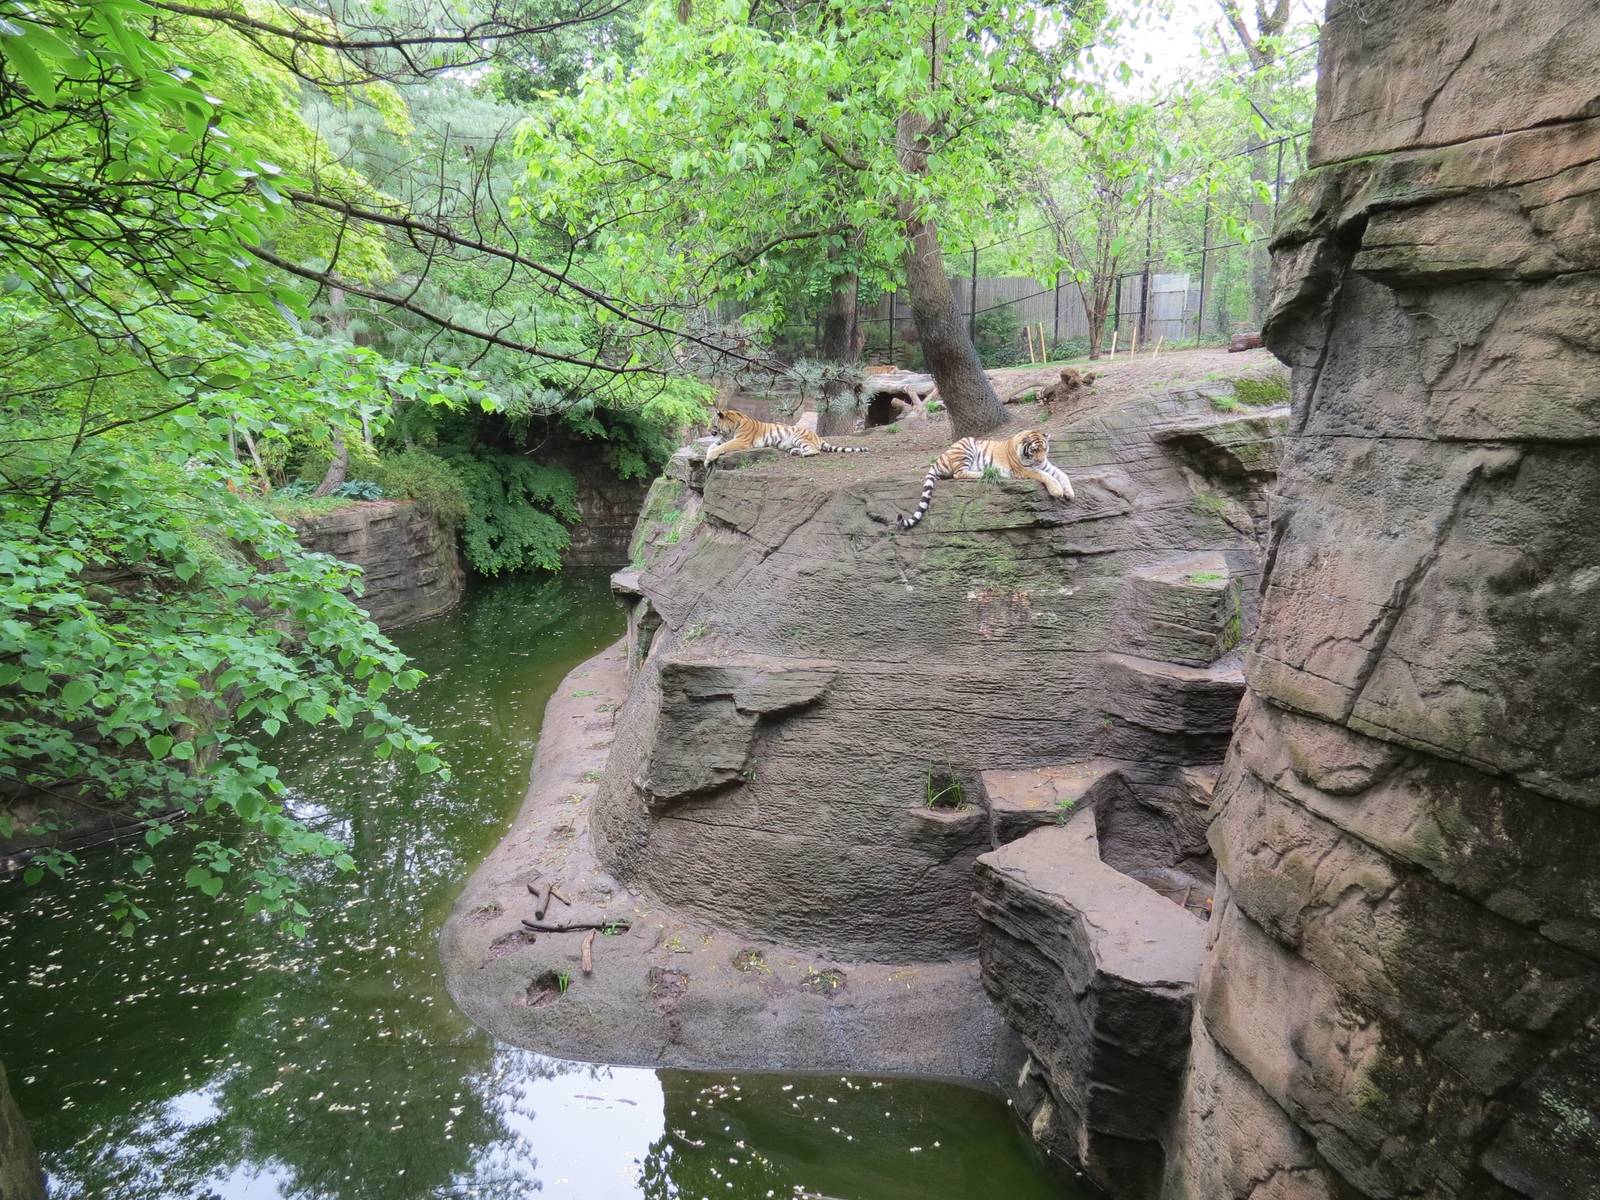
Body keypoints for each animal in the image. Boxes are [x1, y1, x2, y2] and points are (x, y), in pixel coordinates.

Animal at [703, 409, 868, 465]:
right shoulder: (723, 439)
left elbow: (722, 447)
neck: (729, 430)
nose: (708, 429)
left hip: (798, 437)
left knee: (815, 450)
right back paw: (796, 452)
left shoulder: (740, 440)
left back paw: (805, 454)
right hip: (787, 443)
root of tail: (818, 436)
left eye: (712, 423)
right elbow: (711, 446)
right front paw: (706, 459)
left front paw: (709, 459)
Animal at [897, 429, 1075, 530]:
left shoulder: (1047, 466)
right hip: (966, 444)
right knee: (958, 474)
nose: (1041, 460)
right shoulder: (1024, 470)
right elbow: (1045, 476)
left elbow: (1062, 474)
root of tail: (940, 458)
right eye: (1035, 450)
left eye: (1045, 449)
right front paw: (1057, 491)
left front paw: (1070, 493)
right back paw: (986, 473)